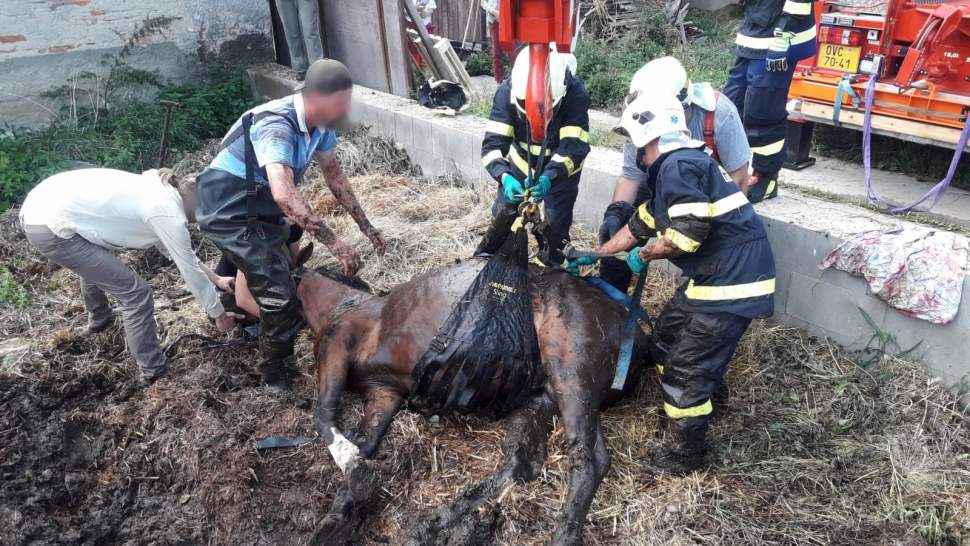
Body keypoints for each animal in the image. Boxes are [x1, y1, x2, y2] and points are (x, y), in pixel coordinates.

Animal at [302, 258, 652, 540]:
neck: (343, 304)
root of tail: (641, 339)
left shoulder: (337, 342)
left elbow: (323, 415)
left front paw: (349, 476)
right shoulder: (384, 392)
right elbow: (366, 442)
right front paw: (337, 513)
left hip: (571, 368)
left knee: (587, 460)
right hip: (541, 397)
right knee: (523, 462)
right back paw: (441, 521)